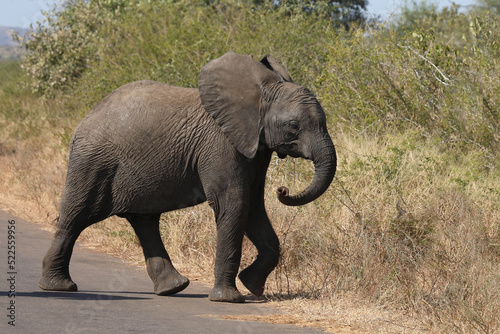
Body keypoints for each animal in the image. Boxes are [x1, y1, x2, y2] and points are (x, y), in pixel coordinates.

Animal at [39, 50, 336, 302]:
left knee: (144, 221)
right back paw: (58, 287)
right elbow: (233, 203)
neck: (257, 95)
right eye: (294, 126)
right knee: (75, 217)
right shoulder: (221, 145)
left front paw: (252, 286)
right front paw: (229, 299)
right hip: (92, 162)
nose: (283, 191)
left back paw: (173, 288)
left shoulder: (255, 147)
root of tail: (87, 117)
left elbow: (253, 206)